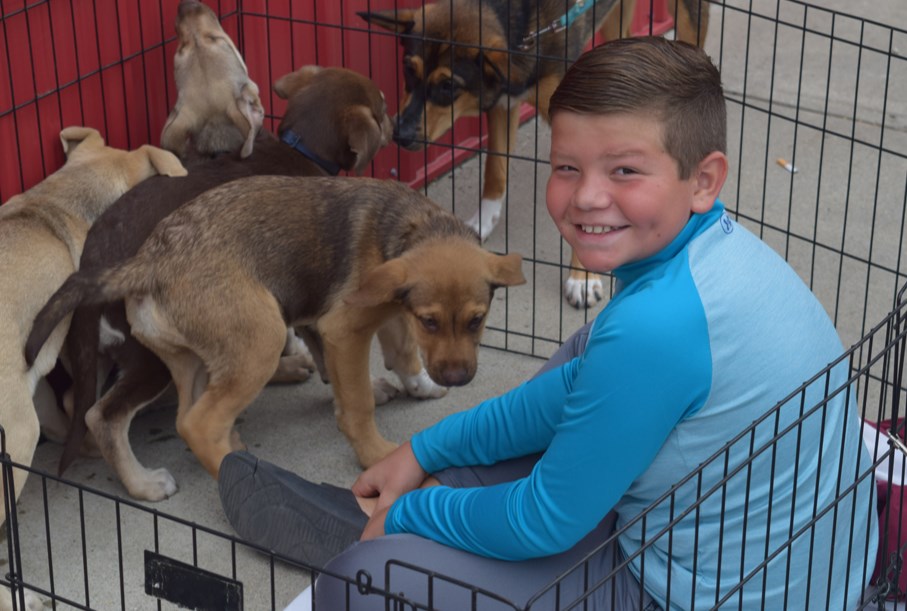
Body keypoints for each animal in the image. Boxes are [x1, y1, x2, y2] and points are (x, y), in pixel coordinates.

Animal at [0, 126, 185, 611]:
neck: (57, 201)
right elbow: (77, 402)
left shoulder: (35, 367)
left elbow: (56, 403)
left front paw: (75, 443)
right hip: (18, 436)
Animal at [24, 64, 394, 502]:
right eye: (382, 107)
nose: (396, 126)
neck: (301, 146)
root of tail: (96, 253)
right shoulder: (315, 298)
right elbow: (333, 362)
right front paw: (373, 387)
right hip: (149, 357)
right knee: (104, 415)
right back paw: (145, 483)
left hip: (93, 353)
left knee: (75, 402)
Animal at [28, 176, 528, 488]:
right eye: (430, 321)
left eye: (477, 320)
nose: (458, 379)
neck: (407, 225)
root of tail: (149, 260)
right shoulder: (343, 329)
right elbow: (357, 403)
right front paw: (375, 454)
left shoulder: (389, 303)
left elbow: (401, 350)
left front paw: (419, 385)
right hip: (260, 338)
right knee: (189, 421)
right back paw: (226, 475)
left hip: (190, 360)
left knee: (187, 414)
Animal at [360, 0, 708, 308]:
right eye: (408, 70)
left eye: (448, 86)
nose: (400, 134)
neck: (522, 27)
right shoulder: (504, 104)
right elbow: (494, 167)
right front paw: (483, 220)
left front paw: (583, 277)